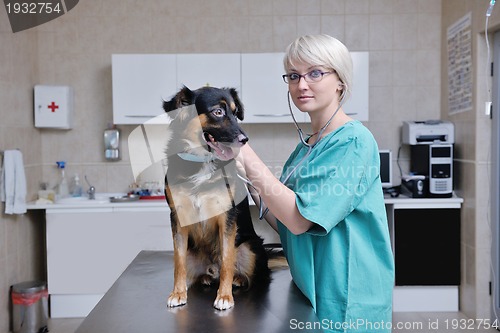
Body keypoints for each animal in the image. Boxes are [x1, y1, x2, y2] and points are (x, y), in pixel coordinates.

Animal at [164, 85, 272, 308]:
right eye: (218, 112)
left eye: (235, 113)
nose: (244, 140)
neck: (202, 161)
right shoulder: (177, 216)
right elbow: (178, 262)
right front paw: (178, 293)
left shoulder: (227, 216)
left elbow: (227, 261)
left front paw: (224, 296)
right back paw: (204, 278)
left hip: (250, 247)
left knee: (253, 275)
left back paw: (238, 279)